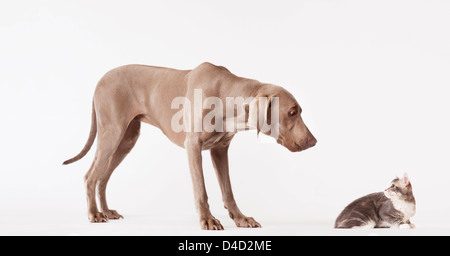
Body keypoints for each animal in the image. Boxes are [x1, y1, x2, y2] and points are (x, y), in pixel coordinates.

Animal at [62, 62, 316, 230]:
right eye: (292, 112)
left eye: (299, 111)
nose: (314, 141)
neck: (226, 93)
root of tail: (101, 79)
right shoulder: (193, 146)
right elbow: (201, 189)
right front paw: (208, 220)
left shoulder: (220, 150)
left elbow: (228, 190)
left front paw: (240, 218)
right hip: (112, 133)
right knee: (90, 176)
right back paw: (94, 214)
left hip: (126, 140)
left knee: (103, 177)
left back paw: (105, 211)